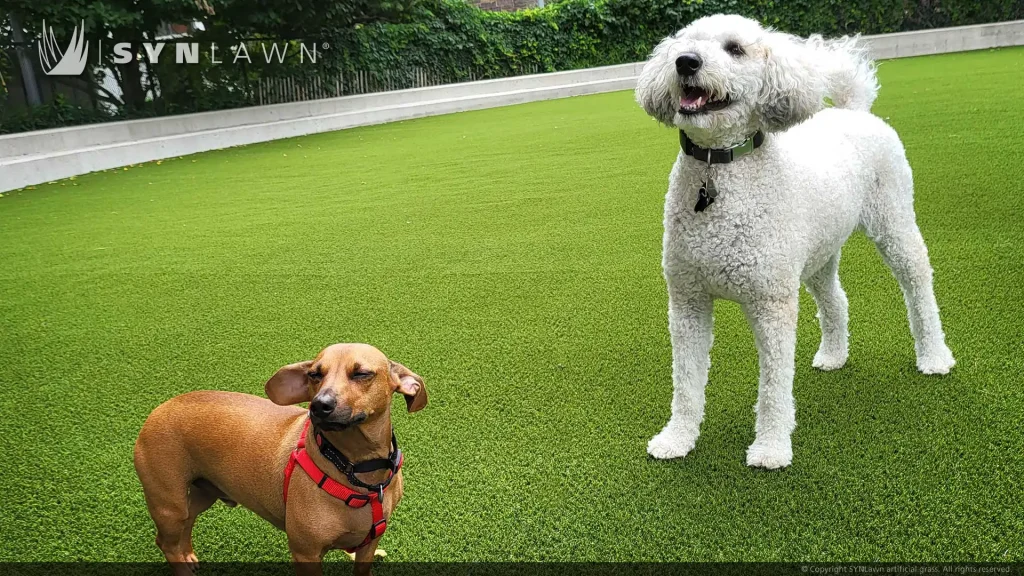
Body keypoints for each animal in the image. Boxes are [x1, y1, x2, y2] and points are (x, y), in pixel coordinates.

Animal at [634, 15, 954, 469]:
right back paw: (834, 355)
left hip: (893, 222)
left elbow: (773, 387)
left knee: (918, 283)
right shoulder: (687, 301)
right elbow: (686, 381)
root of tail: (852, 110)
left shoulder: (771, 302)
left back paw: (934, 356)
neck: (720, 169)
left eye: (735, 49)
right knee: (836, 299)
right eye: (684, 43)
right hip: (817, 252)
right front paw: (677, 438)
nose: (685, 62)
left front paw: (770, 448)